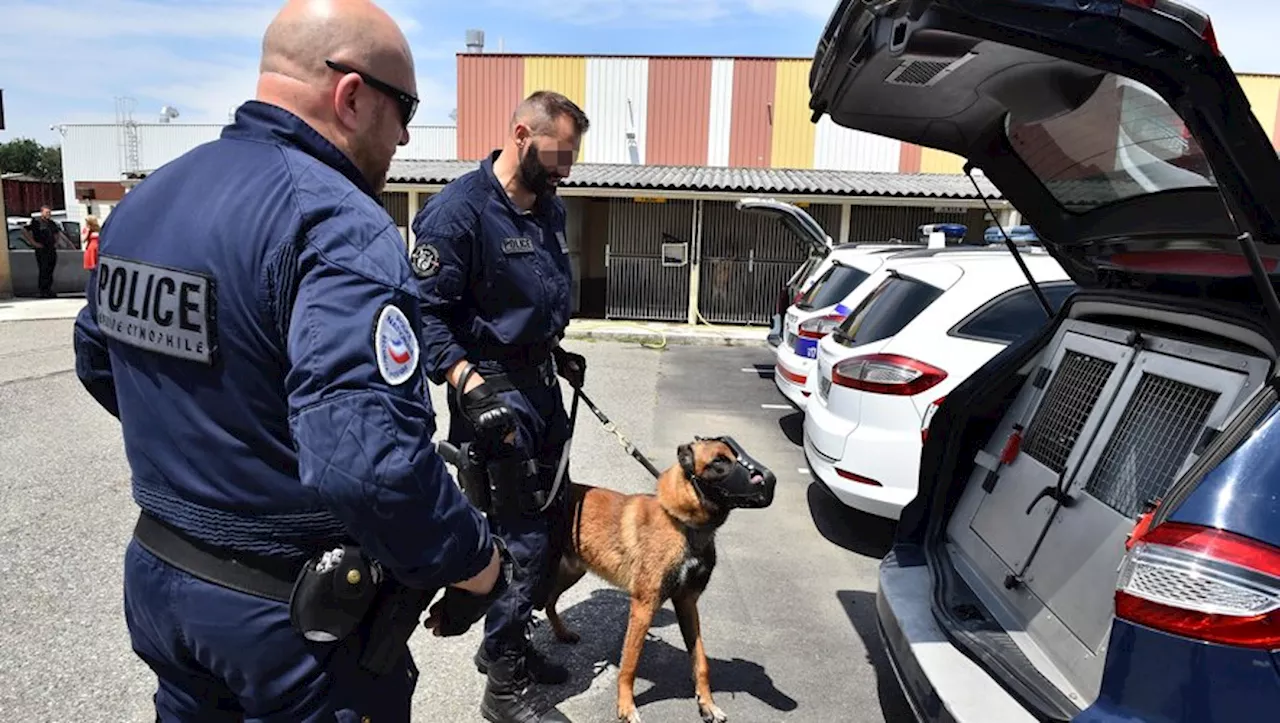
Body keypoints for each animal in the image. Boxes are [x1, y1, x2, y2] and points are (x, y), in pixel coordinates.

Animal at [542, 437, 773, 721]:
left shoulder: (687, 603)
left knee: (549, 602)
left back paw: (562, 633)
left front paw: (707, 703)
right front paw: (626, 707)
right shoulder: (644, 606)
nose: (767, 480)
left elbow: (701, 661)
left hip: (573, 571)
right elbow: (630, 663)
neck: (682, 523)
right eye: (719, 461)